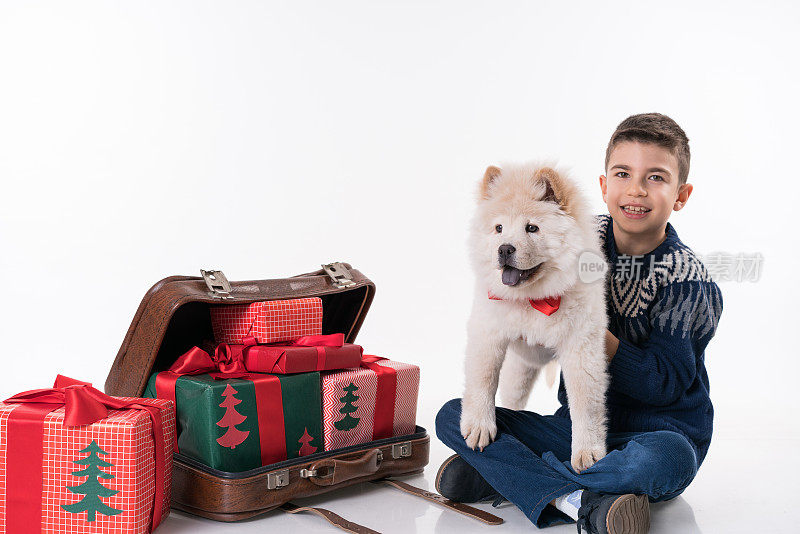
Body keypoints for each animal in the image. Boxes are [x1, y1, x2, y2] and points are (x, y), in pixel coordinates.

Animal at [460, 162, 608, 474]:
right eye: (499, 228)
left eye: (532, 228)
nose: (504, 248)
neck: (533, 300)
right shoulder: (487, 332)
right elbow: (483, 378)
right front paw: (479, 427)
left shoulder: (581, 347)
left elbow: (585, 403)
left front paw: (587, 452)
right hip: (519, 368)